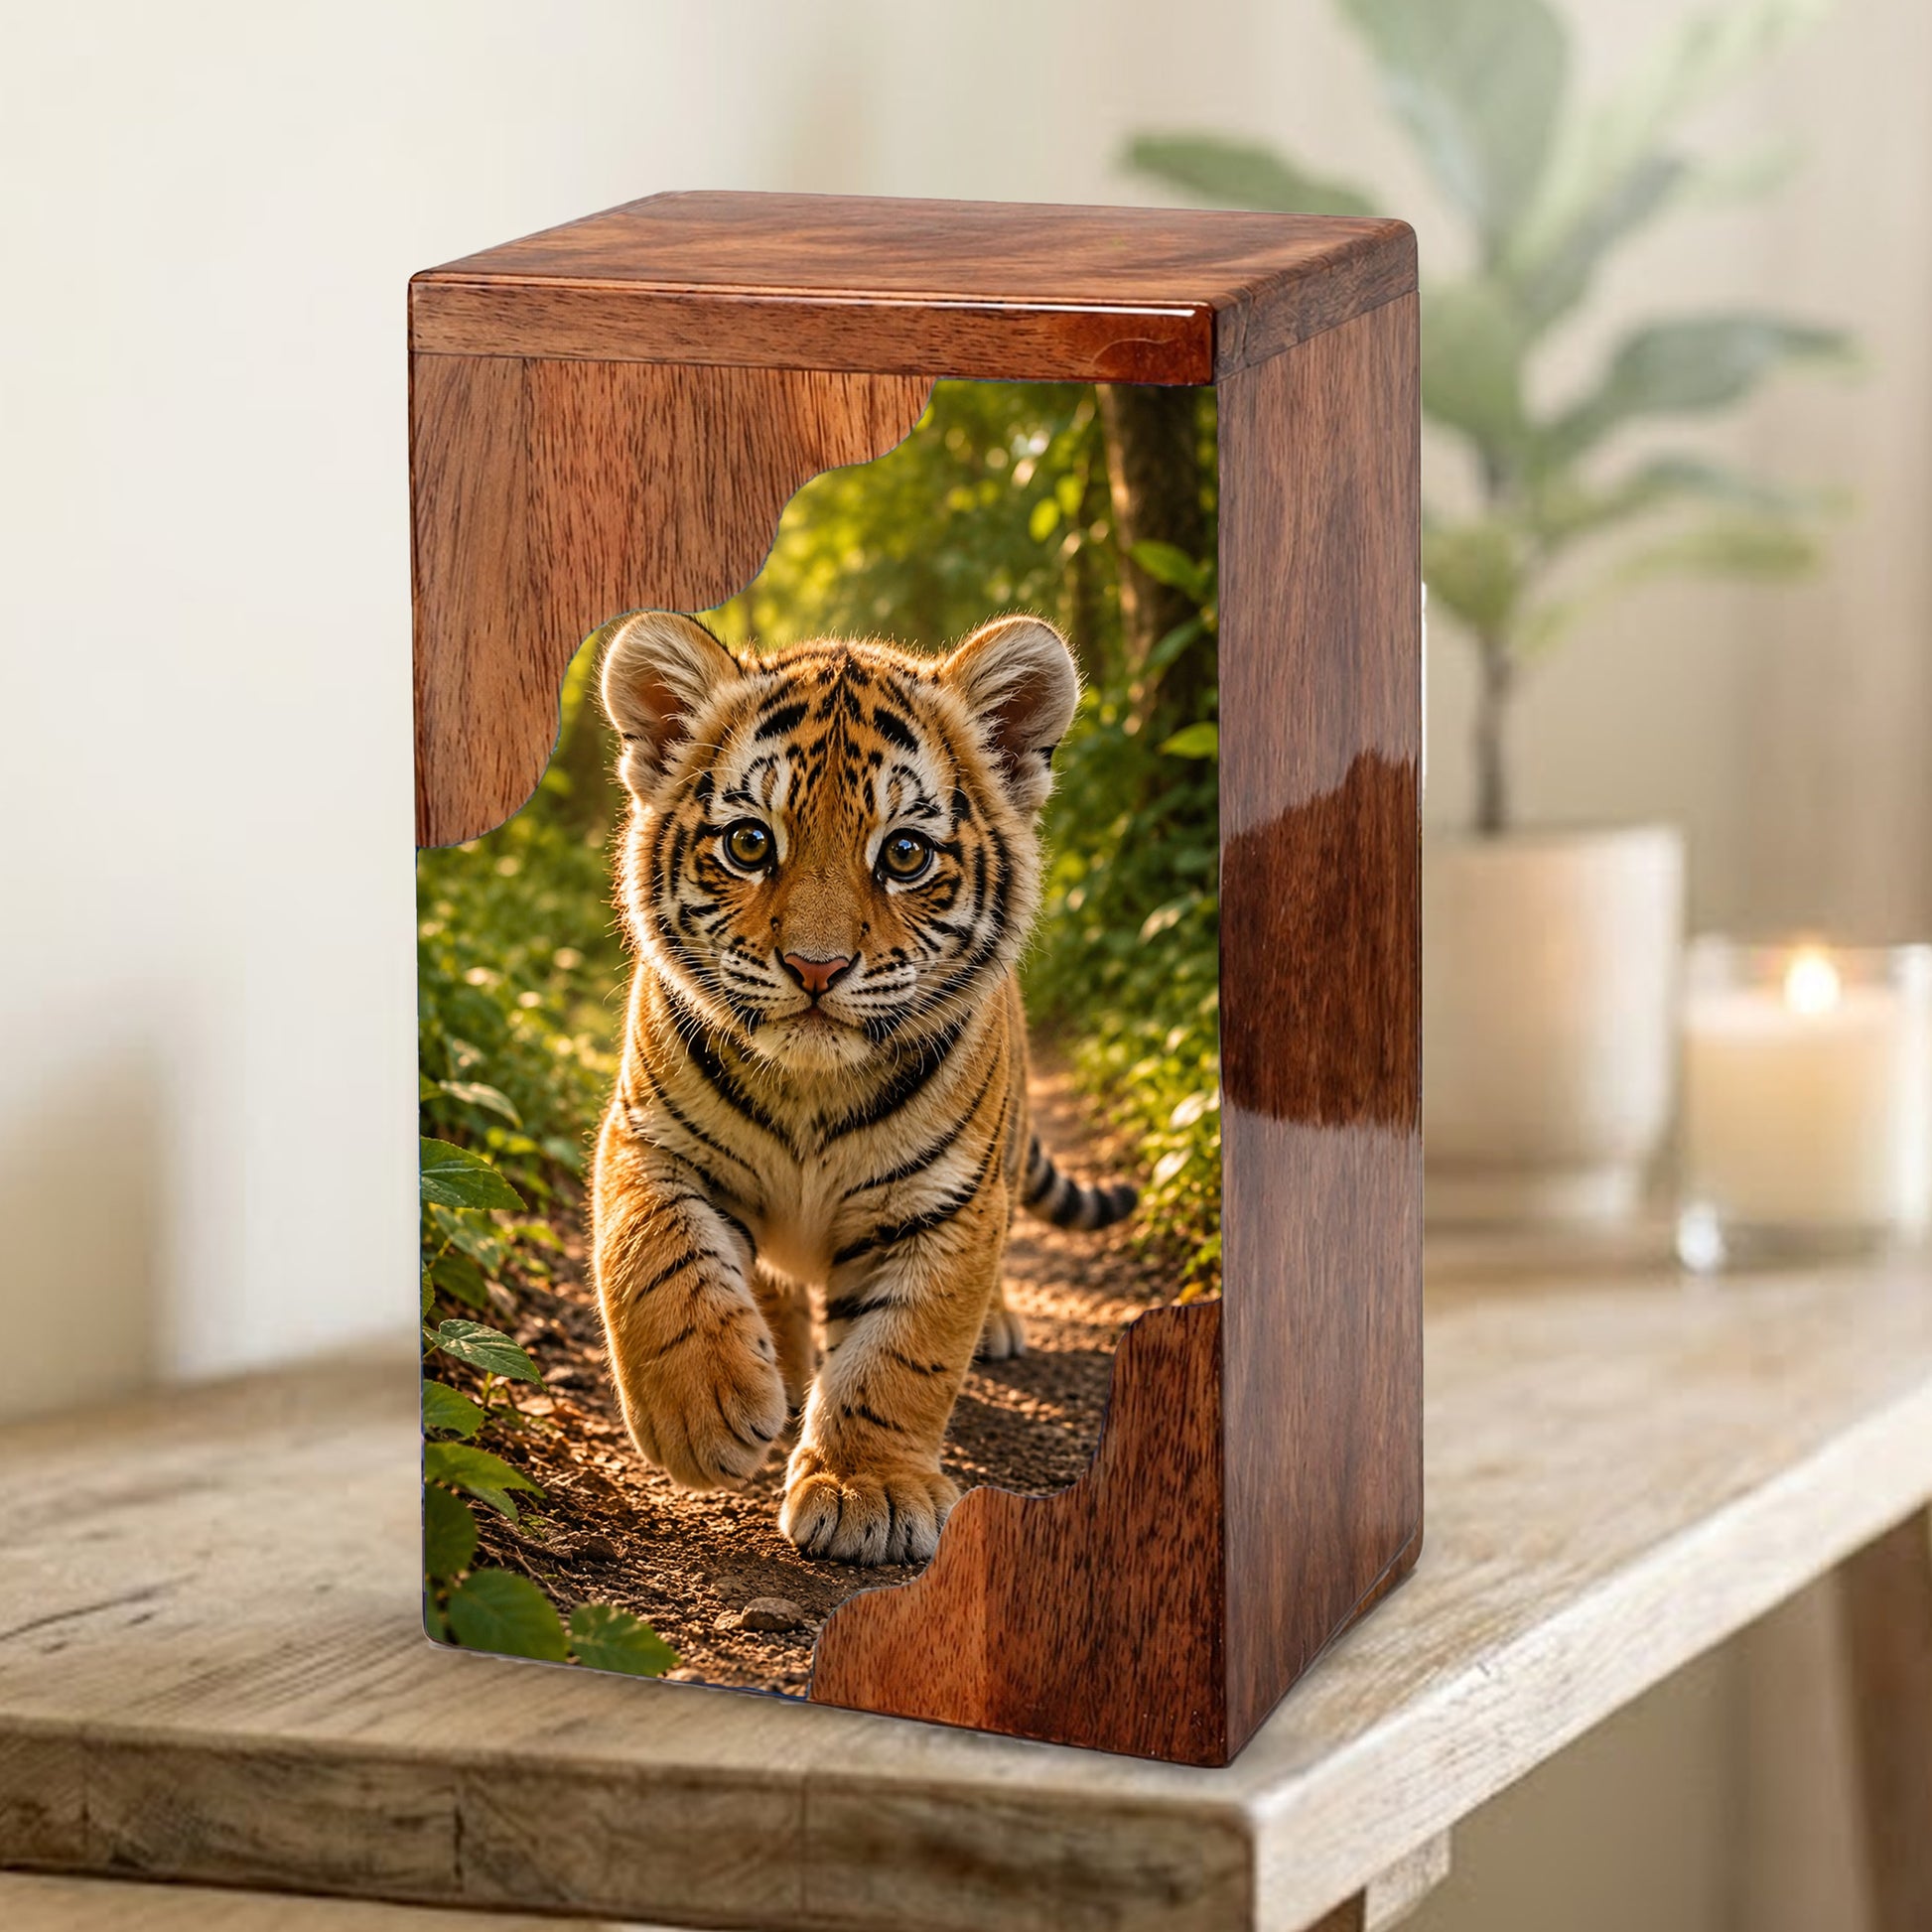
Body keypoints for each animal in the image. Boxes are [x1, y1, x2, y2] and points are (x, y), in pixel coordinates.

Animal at [590, 609, 1138, 1566]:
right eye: (749, 843)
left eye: (905, 855)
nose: (816, 967)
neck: (811, 1090)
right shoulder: (648, 1139)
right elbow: (653, 1256)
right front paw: (705, 1414)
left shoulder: (944, 1203)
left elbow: (901, 1352)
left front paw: (864, 1491)